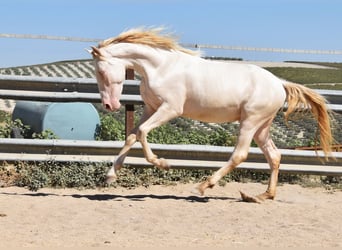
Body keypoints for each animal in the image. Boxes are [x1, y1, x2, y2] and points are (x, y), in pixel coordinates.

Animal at [89, 27, 332, 203]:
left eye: (100, 71)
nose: (109, 105)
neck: (161, 67)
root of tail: (279, 84)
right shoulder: (150, 107)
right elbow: (131, 136)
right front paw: (110, 175)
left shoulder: (170, 109)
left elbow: (141, 132)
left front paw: (163, 163)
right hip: (261, 127)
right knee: (274, 156)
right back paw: (262, 195)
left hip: (250, 122)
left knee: (240, 155)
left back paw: (204, 186)